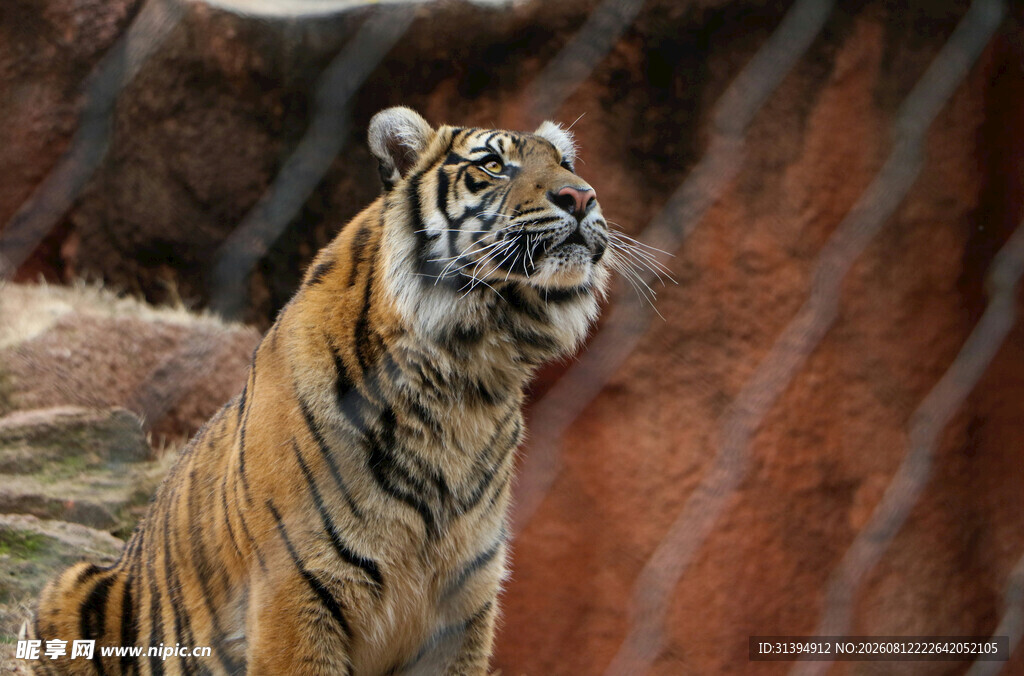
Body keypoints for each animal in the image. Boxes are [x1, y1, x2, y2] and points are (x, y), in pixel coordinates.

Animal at [28, 106, 612, 675]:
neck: (470, 374)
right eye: (493, 165)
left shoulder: (462, 609)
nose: (582, 197)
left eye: (565, 163)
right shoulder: (296, 590)